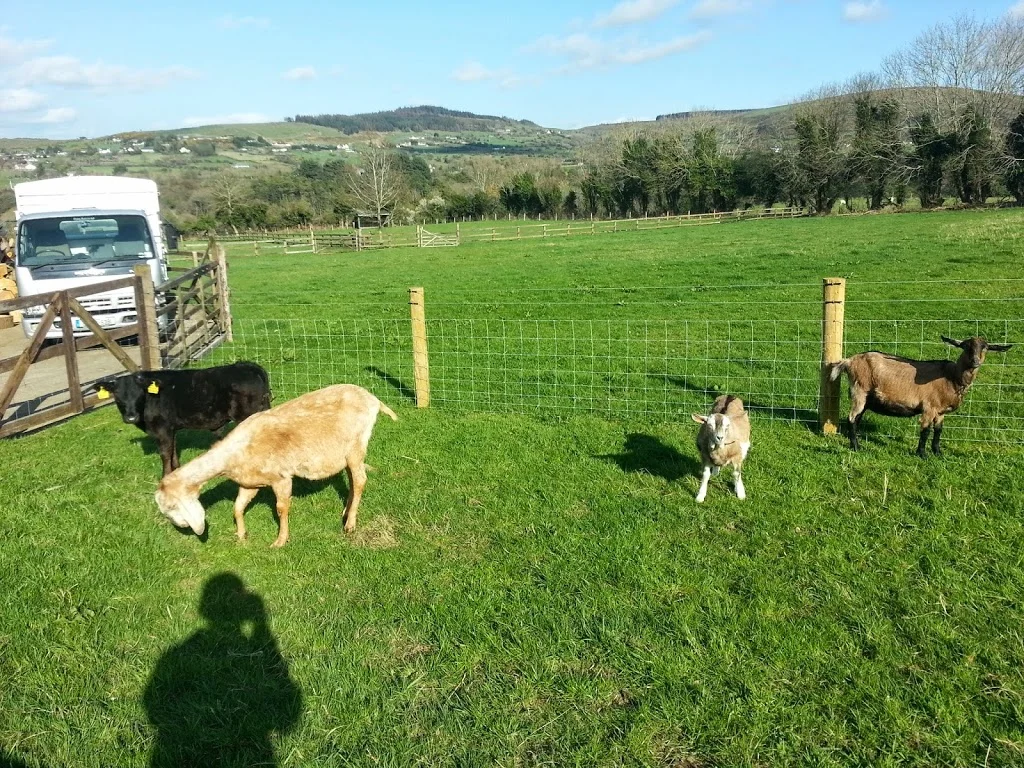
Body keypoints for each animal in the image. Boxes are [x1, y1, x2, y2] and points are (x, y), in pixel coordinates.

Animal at [155, 384, 397, 547]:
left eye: (170, 507)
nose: (183, 528)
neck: (233, 453)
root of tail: (373, 399)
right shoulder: (250, 483)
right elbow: (237, 507)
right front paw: (241, 535)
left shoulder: (281, 478)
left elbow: (281, 508)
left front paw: (280, 541)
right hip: (344, 453)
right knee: (353, 481)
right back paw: (346, 512)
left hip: (357, 445)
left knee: (360, 480)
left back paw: (350, 524)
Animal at [829, 335, 1012, 456]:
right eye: (966, 346)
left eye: (985, 347)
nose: (975, 361)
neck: (951, 377)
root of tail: (849, 361)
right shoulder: (929, 407)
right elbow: (925, 430)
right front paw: (922, 454)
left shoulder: (940, 412)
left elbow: (938, 431)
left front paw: (938, 453)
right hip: (859, 390)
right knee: (852, 418)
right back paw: (856, 447)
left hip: (866, 398)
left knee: (857, 418)